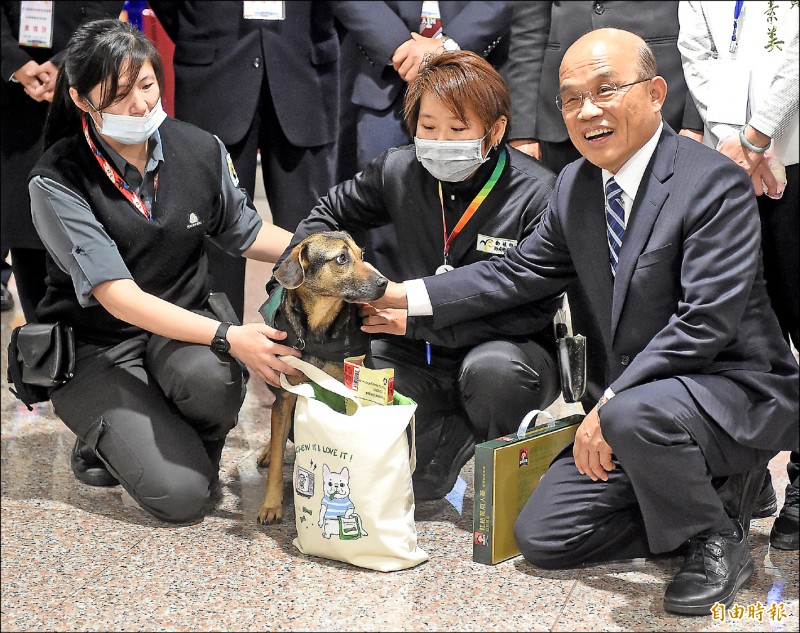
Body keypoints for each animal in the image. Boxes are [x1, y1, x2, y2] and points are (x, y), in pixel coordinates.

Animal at [253, 232, 384, 524]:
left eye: (362, 254)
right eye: (342, 258)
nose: (384, 283)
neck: (317, 330)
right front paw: (270, 505)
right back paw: (267, 450)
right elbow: (277, 460)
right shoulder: (286, 395)